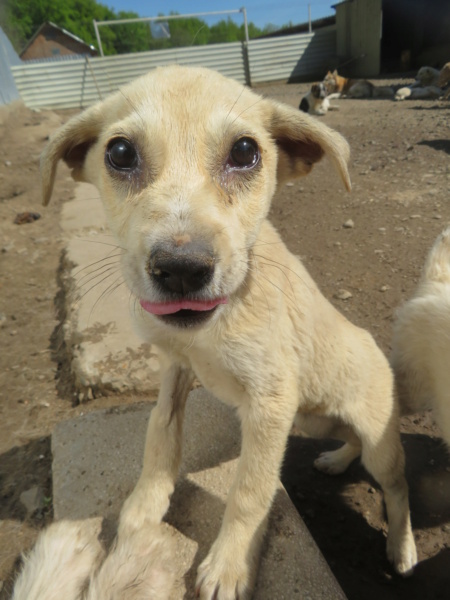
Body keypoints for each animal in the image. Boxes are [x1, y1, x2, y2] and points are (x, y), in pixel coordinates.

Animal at [40, 65, 416, 600]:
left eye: (244, 152)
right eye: (120, 153)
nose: (181, 270)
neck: (211, 330)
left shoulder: (271, 404)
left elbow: (250, 492)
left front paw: (229, 564)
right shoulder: (176, 371)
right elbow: (160, 438)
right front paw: (144, 508)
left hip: (374, 433)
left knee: (396, 482)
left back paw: (402, 548)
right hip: (311, 419)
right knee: (347, 440)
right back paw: (336, 460)